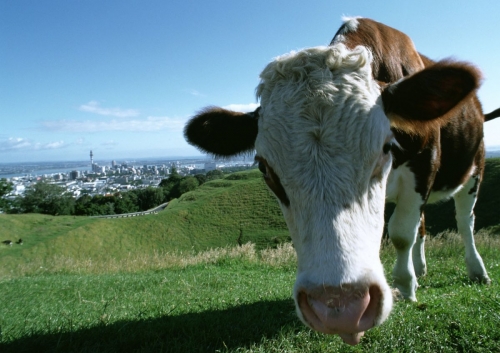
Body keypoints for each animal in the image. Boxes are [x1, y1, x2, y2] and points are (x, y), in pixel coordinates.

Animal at [183, 16, 492, 344]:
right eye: (264, 168)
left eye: (386, 147)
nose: (341, 307)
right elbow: (409, 231)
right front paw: (410, 279)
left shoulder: (424, 167)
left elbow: (400, 233)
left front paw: (405, 287)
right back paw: (420, 269)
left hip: (475, 168)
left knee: (464, 220)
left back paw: (475, 270)